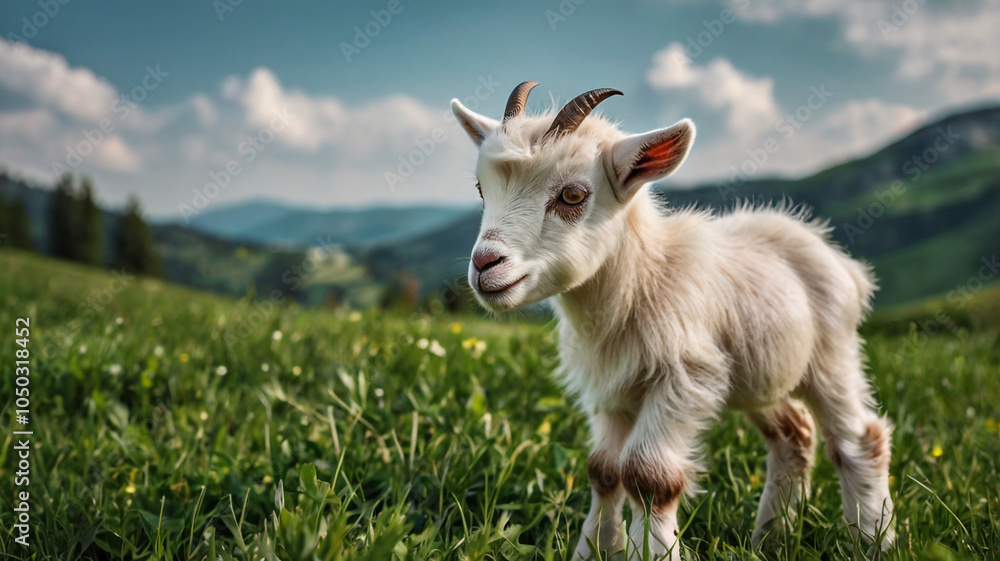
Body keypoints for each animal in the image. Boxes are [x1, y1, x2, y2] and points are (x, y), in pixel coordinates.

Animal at [451, 82, 894, 559]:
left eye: (572, 196)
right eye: (481, 188)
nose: (485, 264)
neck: (642, 281)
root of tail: (840, 261)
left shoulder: (684, 380)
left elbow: (647, 476)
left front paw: (653, 549)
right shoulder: (611, 390)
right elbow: (603, 470)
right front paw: (595, 548)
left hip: (832, 356)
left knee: (859, 439)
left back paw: (874, 539)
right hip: (760, 376)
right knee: (794, 434)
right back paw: (771, 538)